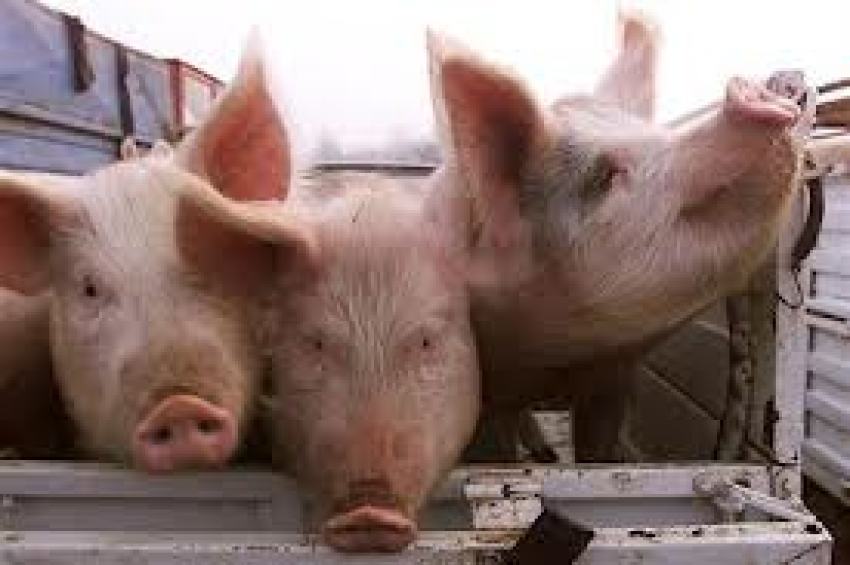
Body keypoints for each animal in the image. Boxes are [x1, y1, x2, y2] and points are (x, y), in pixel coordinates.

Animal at [427, 13, 807, 460]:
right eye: (608, 175)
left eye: (652, 131)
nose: (748, 88)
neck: (555, 360)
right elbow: (495, 456)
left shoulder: (610, 381)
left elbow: (597, 455)